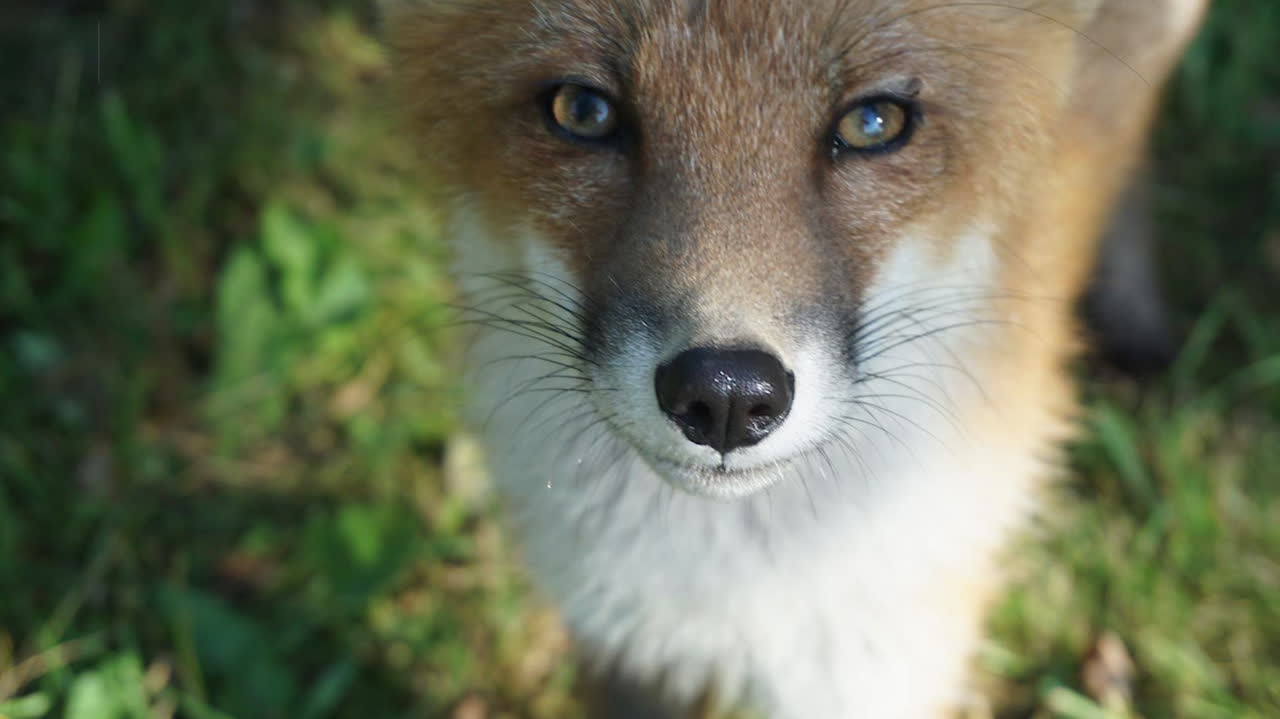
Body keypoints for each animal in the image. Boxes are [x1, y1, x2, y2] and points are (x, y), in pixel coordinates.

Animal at [384, 2, 1203, 711]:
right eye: (583, 111)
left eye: (873, 123)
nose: (725, 394)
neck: (733, 587)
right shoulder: (619, 645)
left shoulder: (877, 667)